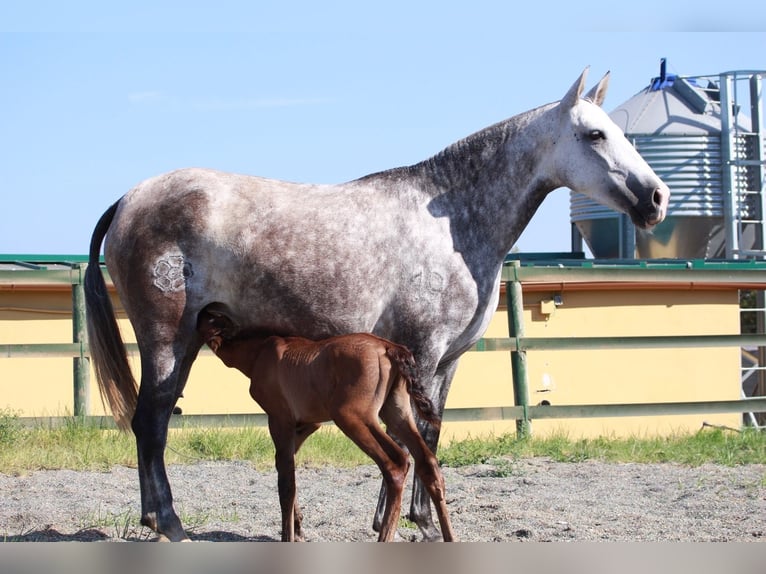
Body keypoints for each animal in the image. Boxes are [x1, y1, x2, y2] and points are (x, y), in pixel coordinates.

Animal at [85, 70, 672, 544]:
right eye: (595, 134)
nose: (656, 199)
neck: (452, 226)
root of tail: (130, 199)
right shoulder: (421, 352)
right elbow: (410, 440)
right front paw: (394, 520)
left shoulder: (446, 362)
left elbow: (429, 435)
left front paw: (424, 521)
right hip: (167, 339)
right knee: (151, 422)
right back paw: (170, 523)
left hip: (183, 343)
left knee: (151, 423)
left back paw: (152, 519)